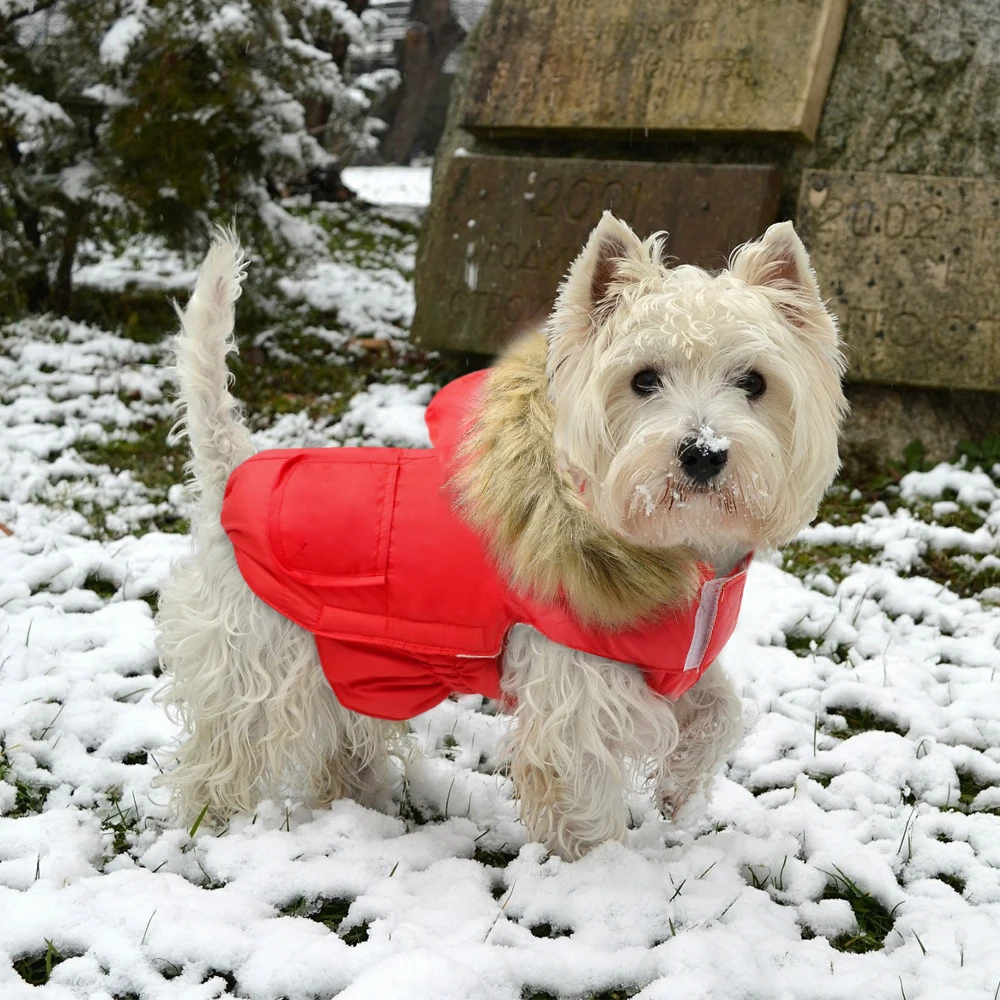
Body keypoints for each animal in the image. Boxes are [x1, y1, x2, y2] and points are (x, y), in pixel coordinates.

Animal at [154, 213, 844, 860]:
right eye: (644, 379)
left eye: (753, 382)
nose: (704, 453)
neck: (685, 557)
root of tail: (235, 468)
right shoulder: (573, 694)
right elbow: (583, 790)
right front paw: (604, 874)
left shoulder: (676, 661)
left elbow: (723, 711)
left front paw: (678, 791)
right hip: (255, 659)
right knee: (225, 752)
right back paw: (211, 827)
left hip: (355, 664)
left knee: (343, 742)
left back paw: (355, 802)